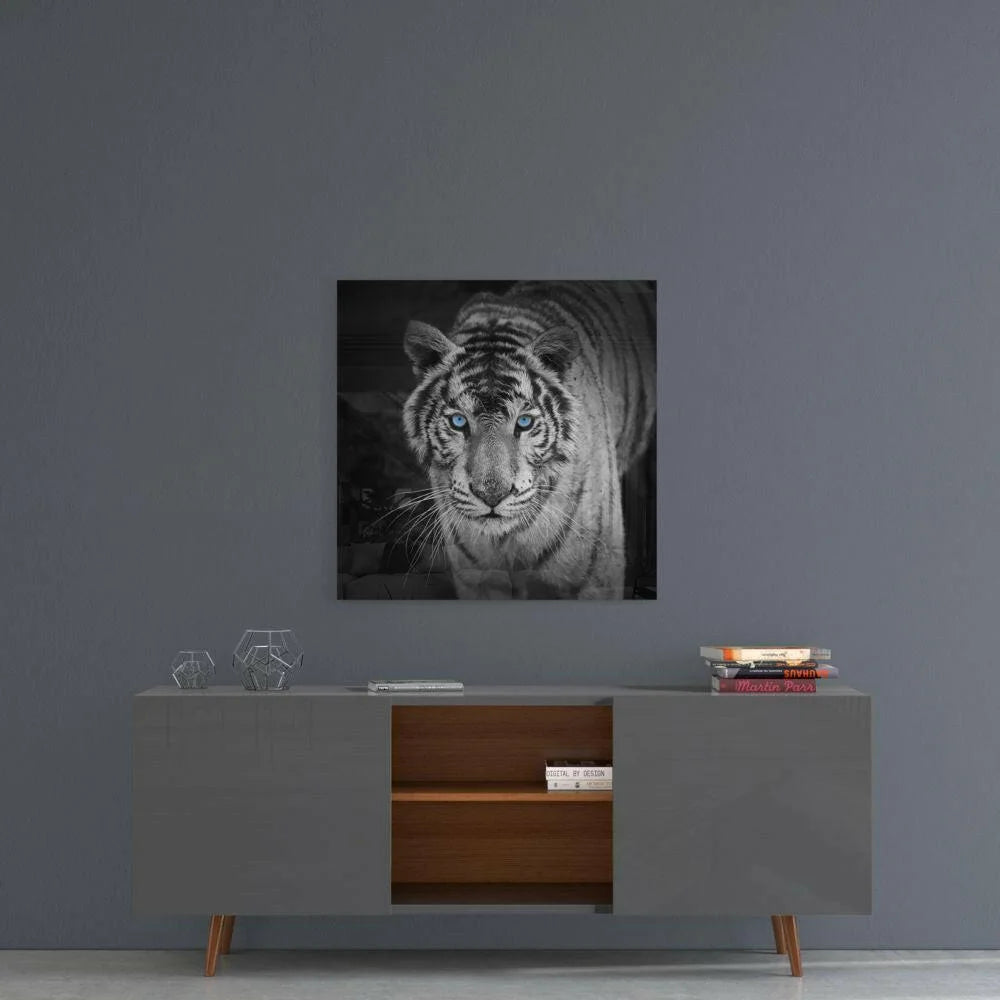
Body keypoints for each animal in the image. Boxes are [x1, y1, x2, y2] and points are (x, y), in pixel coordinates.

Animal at [401, 281, 656, 599]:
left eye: (524, 422)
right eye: (459, 421)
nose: (491, 496)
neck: (506, 539)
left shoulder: (597, 579)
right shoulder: (477, 580)